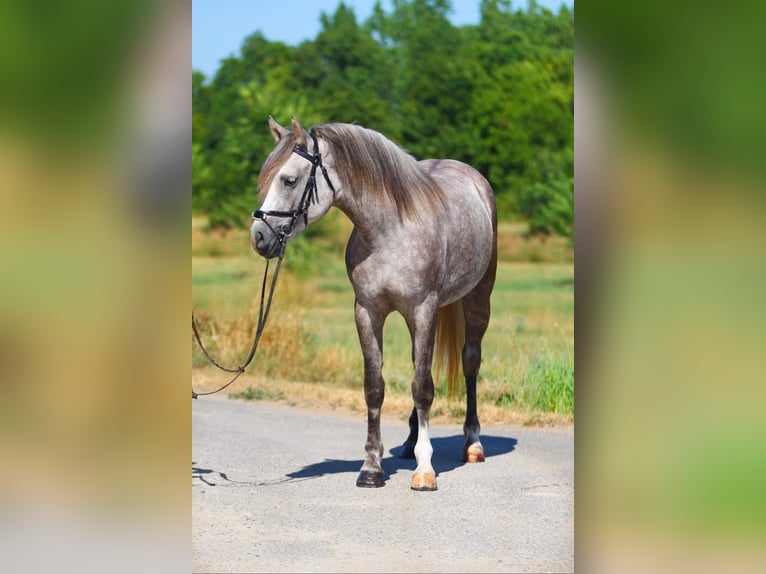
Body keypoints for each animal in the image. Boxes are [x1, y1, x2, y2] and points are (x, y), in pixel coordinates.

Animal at [249, 116, 498, 490]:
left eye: (289, 179)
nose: (259, 237)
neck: (390, 231)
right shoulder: (367, 312)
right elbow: (375, 386)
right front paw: (371, 468)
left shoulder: (423, 309)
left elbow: (423, 387)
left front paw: (425, 471)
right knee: (418, 364)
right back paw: (410, 443)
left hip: (478, 298)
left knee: (470, 362)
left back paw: (472, 444)